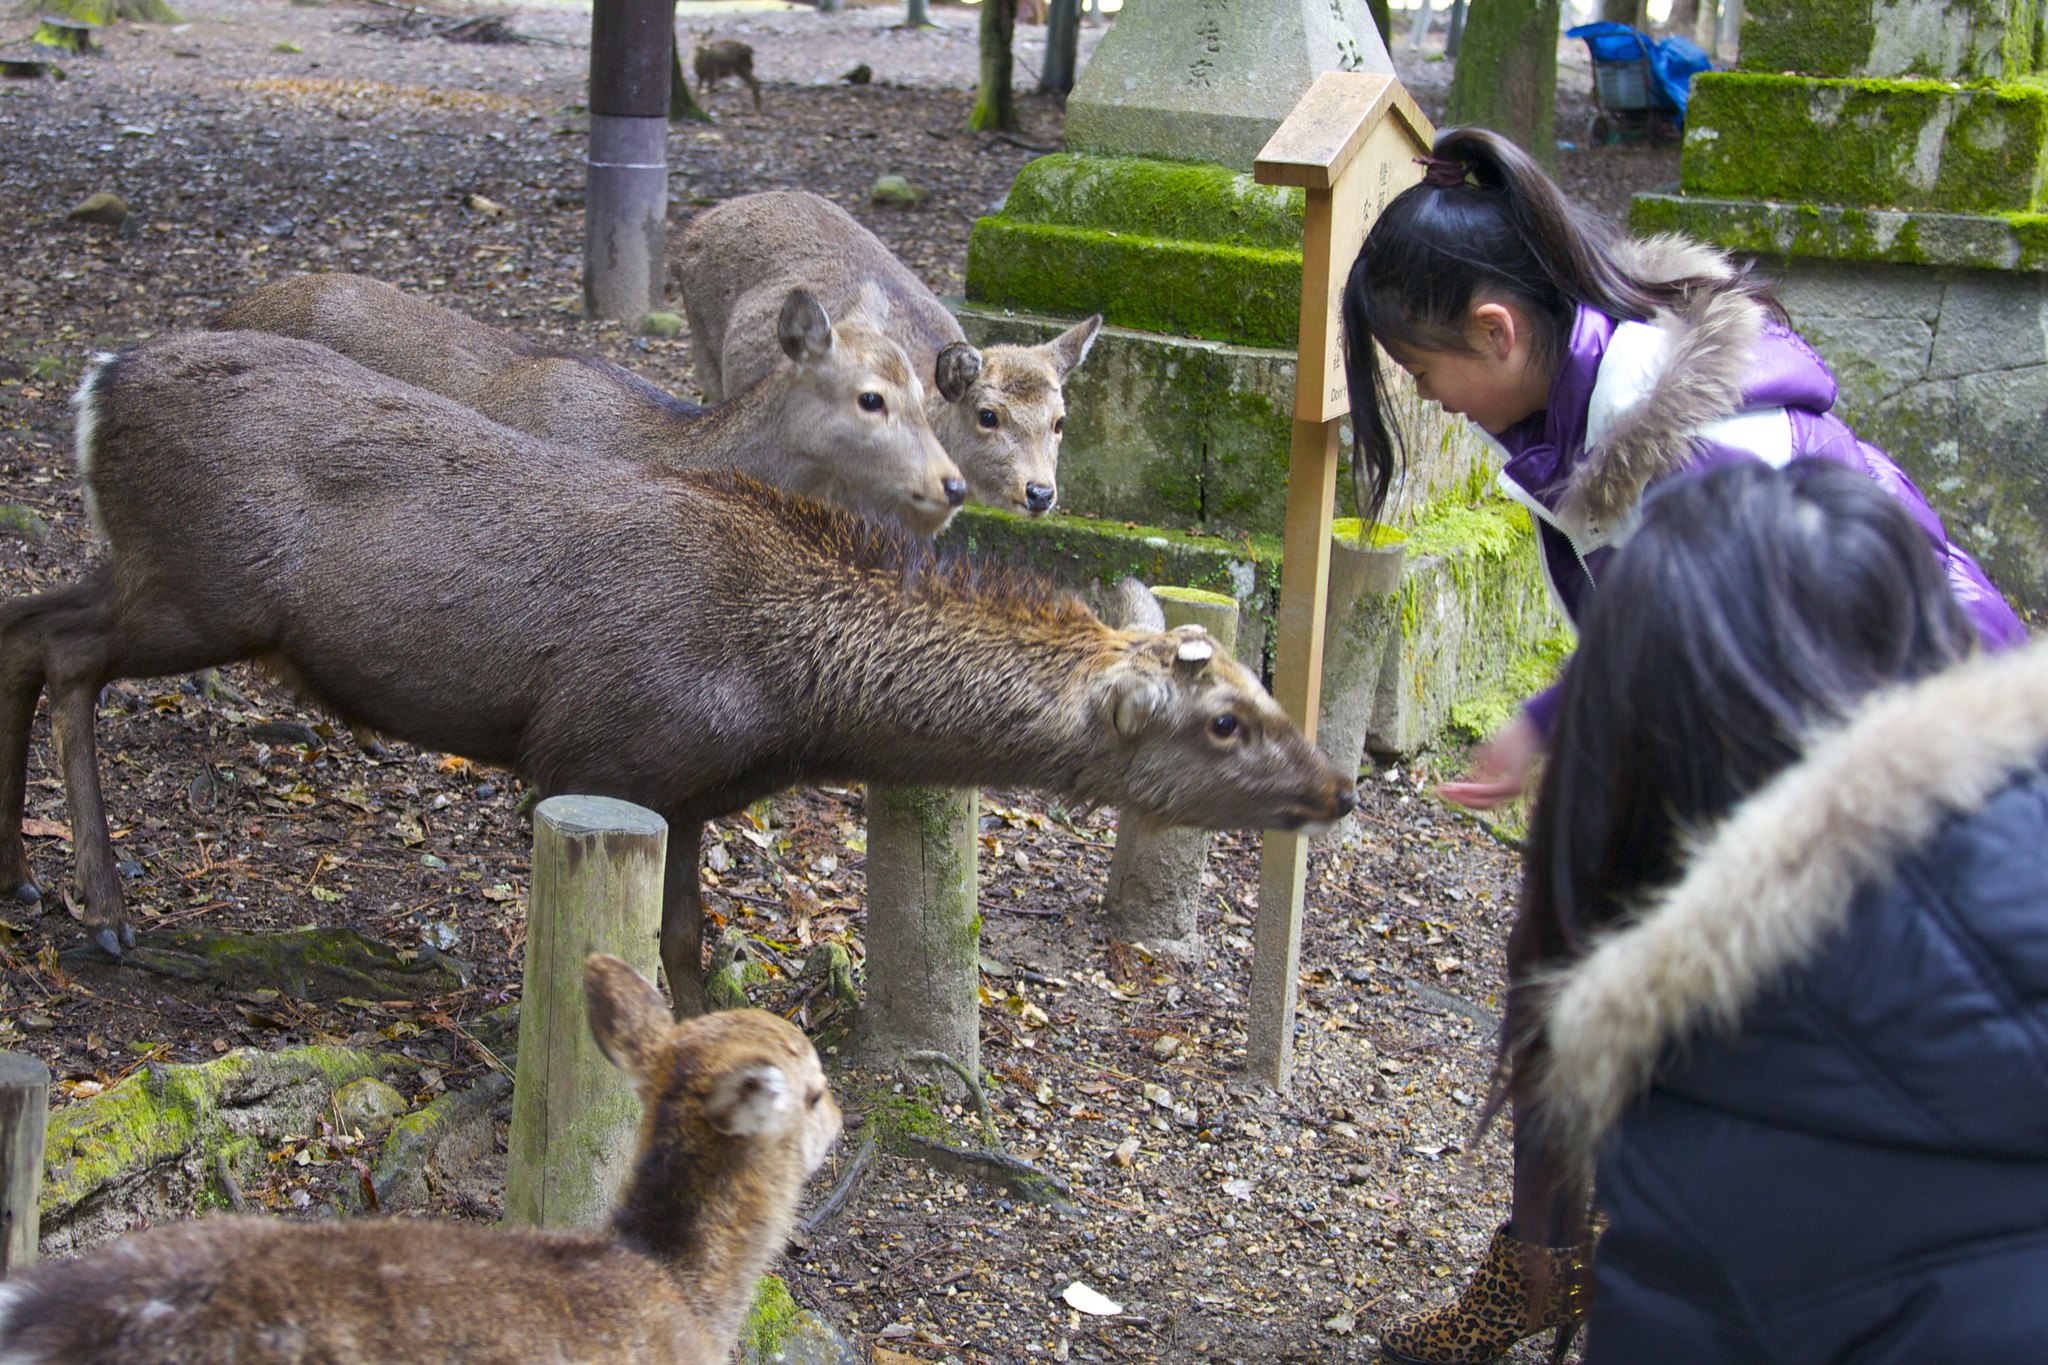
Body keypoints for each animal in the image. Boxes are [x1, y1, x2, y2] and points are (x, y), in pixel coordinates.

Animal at [2, 331, 1355, 1014]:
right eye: (1225, 720)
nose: (1338, 789)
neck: (795, 700)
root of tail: (96, 384)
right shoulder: (594, 751)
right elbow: (624, 953)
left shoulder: (688, 793)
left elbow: (690, 940)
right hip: (200, 583)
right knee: (65, 653)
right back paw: (105, 906)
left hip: (150, 567)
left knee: (22, 621)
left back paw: (21, 879)